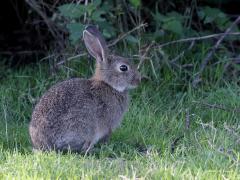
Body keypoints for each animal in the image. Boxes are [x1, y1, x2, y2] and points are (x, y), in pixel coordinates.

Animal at [28, 24, 141, 153]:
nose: (138, 80)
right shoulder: (108, 126)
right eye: (123, 68)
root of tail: (44, 143)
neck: (108, 84)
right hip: (83, 127)